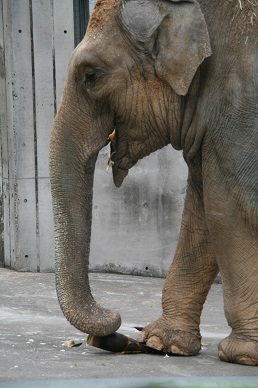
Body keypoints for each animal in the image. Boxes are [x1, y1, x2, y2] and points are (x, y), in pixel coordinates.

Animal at [49, 0, 258, 366]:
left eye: (91, 75)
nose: (114, 328)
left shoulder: (237, 104)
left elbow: (228, 209)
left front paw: (242, 355)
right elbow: (202, 216)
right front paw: (163, 343)